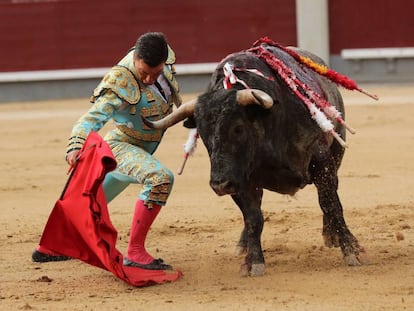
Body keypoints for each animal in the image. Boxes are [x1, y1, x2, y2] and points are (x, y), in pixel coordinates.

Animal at [144, 37, 368, 276]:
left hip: (337, 151)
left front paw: (352, 250)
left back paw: (331, 235)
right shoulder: (239, 179)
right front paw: (253, 261)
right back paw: (243, 245)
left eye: (238, 128)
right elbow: (253, 217)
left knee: (329, 197)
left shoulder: (321, 160)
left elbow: (330, 203)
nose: (219, 185)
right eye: (202, 135)